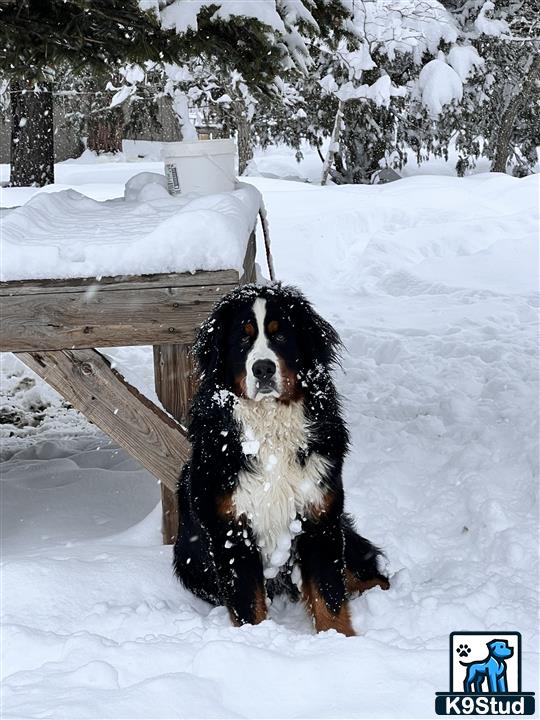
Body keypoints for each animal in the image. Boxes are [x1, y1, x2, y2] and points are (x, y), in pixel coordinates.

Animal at [173, 282, 388, 636]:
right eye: (243, 338)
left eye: (281, 335)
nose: (263, 369)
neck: (270, 428)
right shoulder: (232, 529)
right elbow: (248, 604)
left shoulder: (319, 517)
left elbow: (330, 596)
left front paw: (339, 639)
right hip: (189, 558)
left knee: (370, 573)